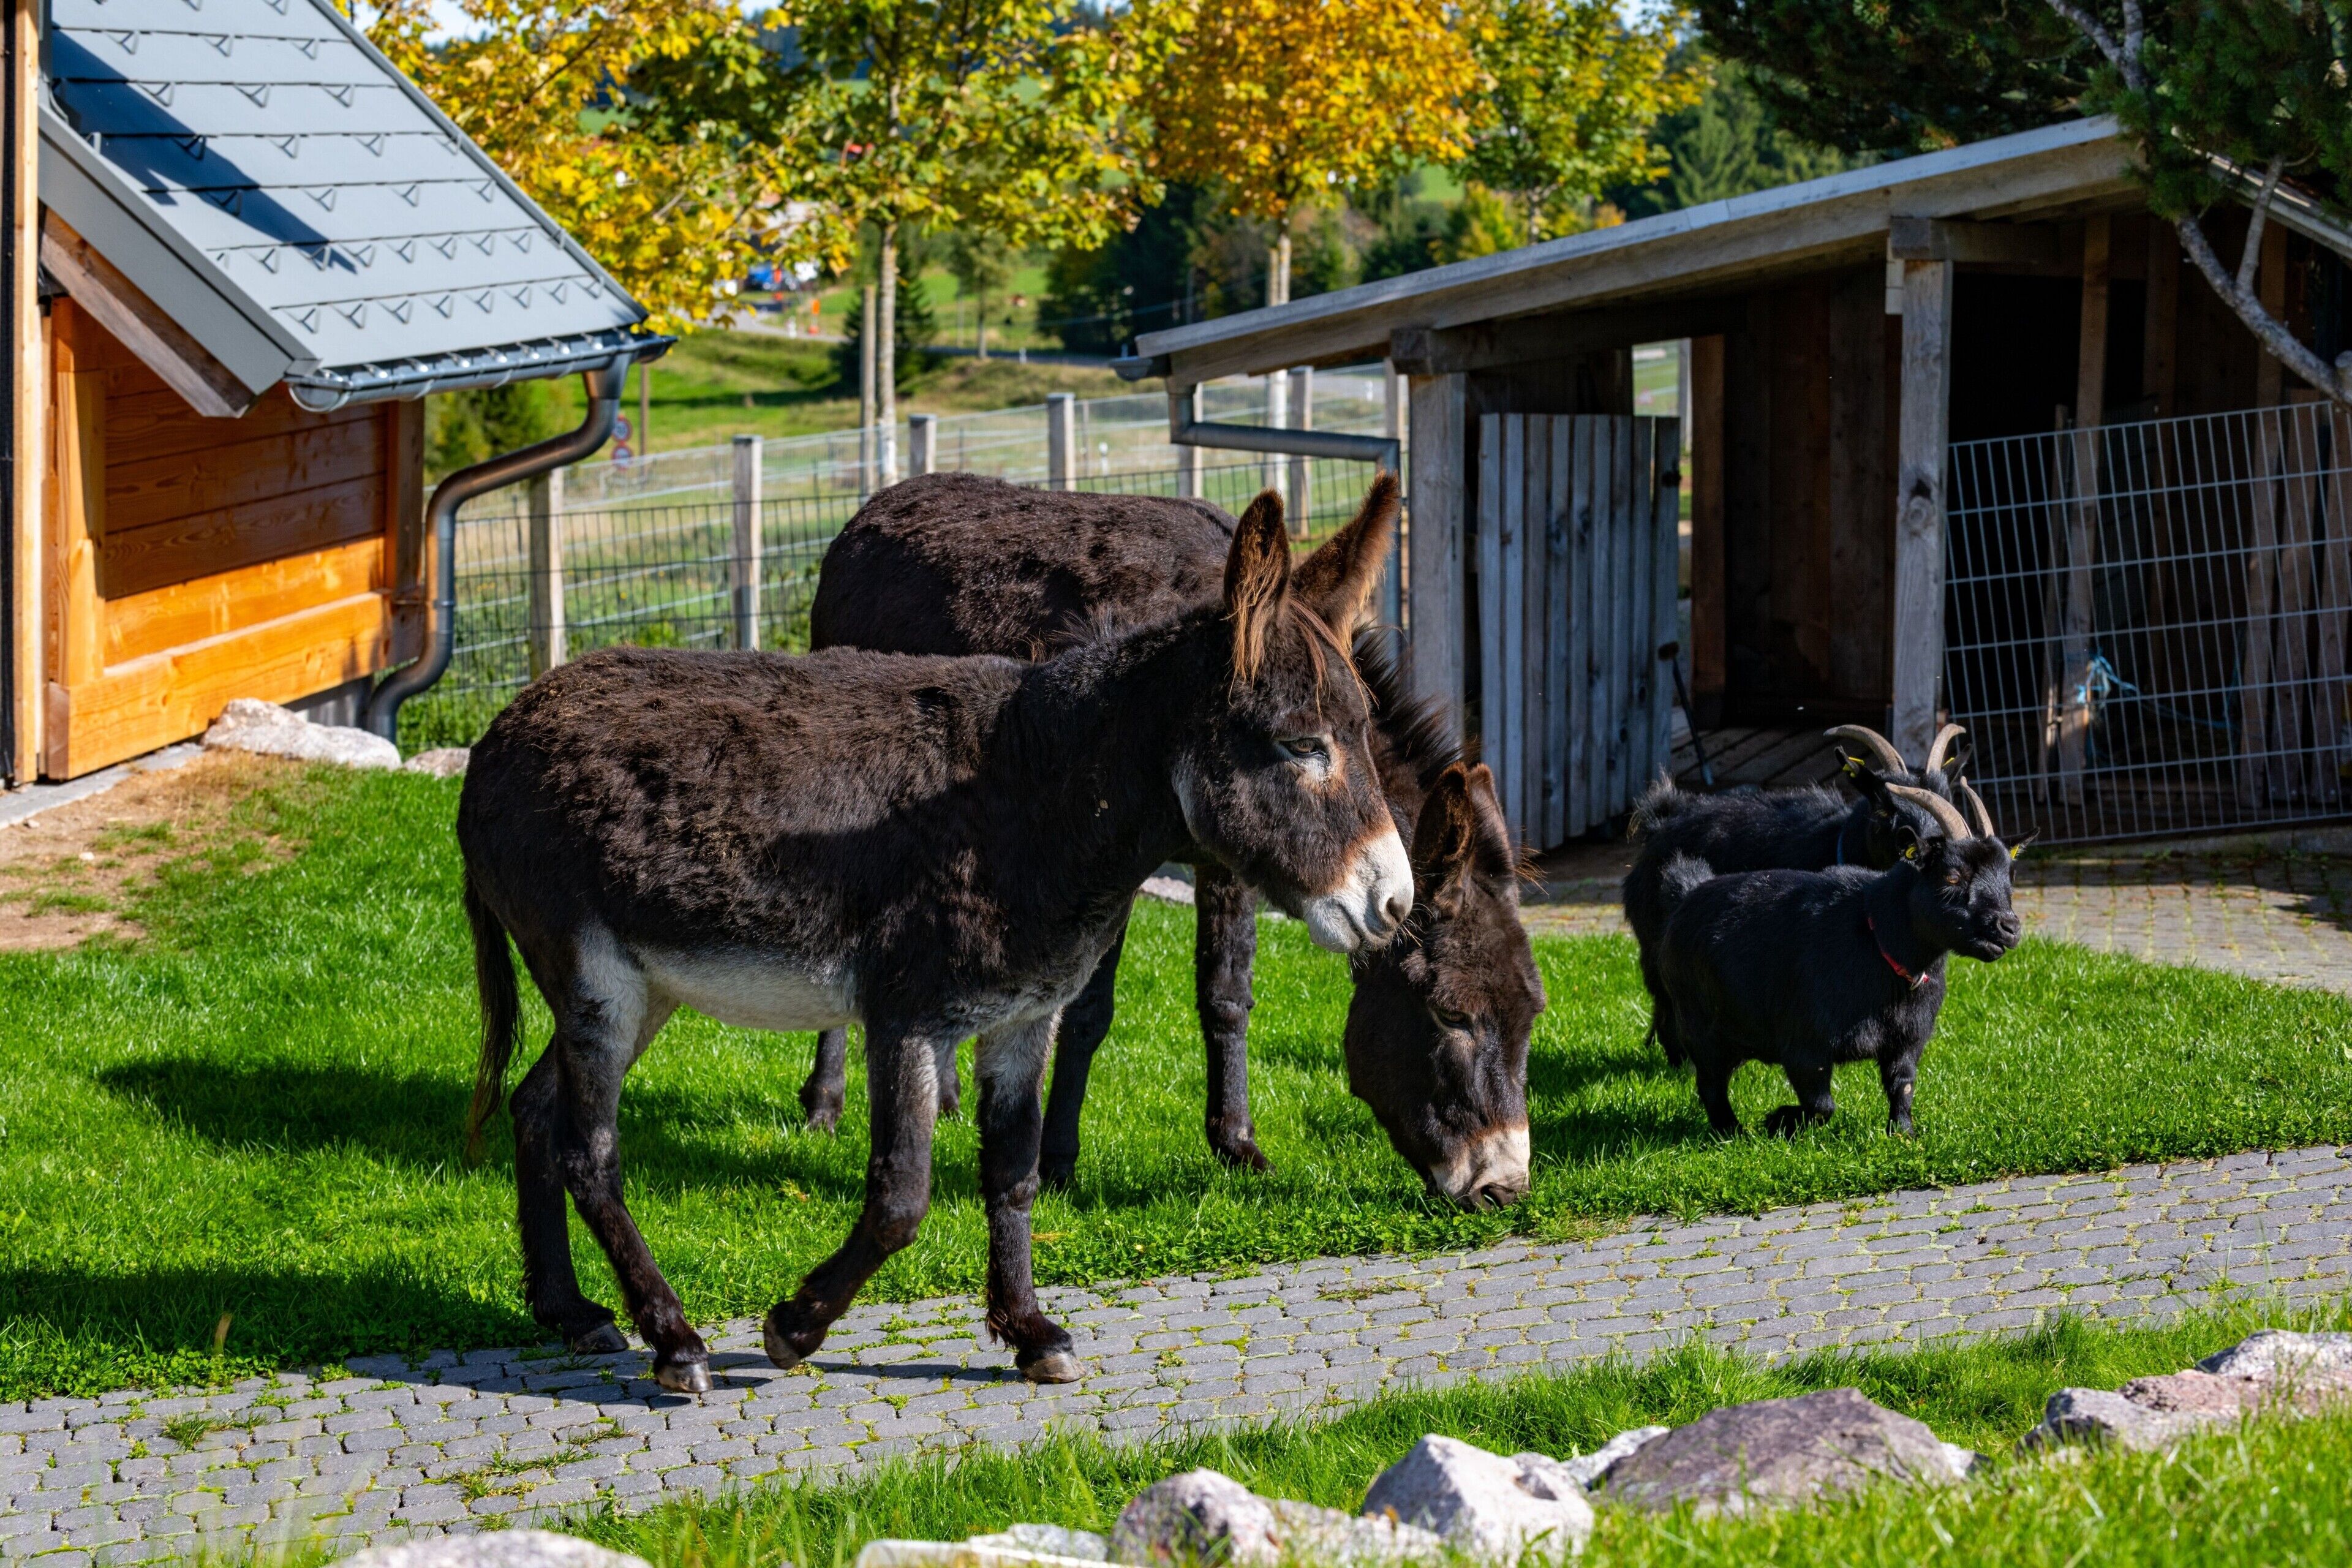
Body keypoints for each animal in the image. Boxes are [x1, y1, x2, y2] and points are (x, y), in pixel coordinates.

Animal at [1652, 779, 2028, 1136]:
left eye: (2010, 874)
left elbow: (1903, 1087)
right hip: (1699, 1027)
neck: (1877, 939)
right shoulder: (1806, 1045)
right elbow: (1822, 1106)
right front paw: (1777, 1121)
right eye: (1952, 876)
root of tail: (1685, 895)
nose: (2009, 928)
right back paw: (1733, 1133)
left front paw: (1904, 1135)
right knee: (1710, 1085)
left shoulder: (1907, 1041)